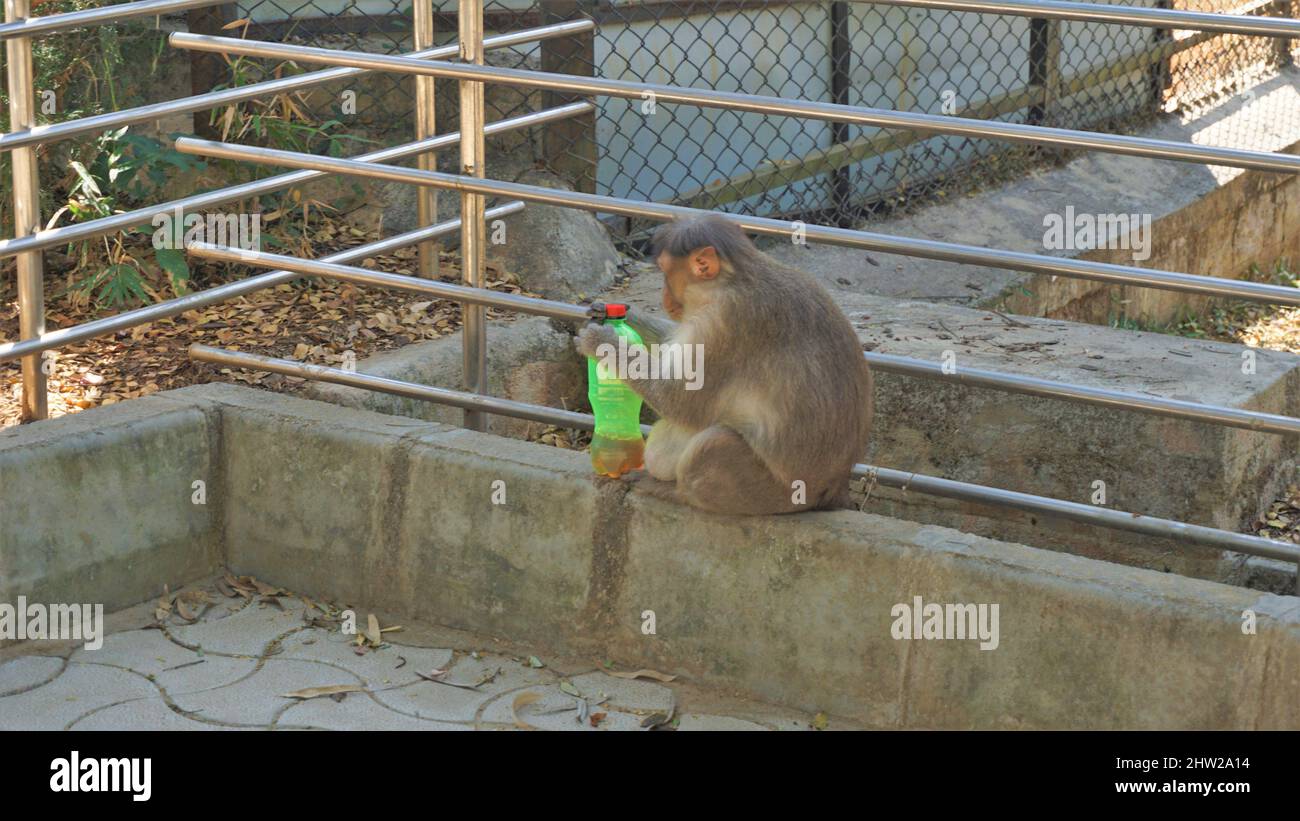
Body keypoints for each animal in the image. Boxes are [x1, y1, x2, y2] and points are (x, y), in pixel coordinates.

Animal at [577, 214, 873, 517]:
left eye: (665, 271)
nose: (663, 297)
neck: (732, 280)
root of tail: (832, 490)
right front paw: (620, 313)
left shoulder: (723, 321)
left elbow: (679, 402)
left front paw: (604, 342)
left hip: (777, 494)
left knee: (711, 444)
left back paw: (674, 491)